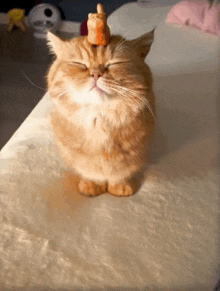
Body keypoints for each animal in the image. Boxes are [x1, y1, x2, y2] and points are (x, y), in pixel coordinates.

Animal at [47, 29, 156, 197]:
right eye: (79, 64)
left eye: (114, 64)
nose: (96, 74)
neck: (98, 121)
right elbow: (91, 172)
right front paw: (92, 184)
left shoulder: (134, 156)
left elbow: (120, 174)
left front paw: (120, 185)